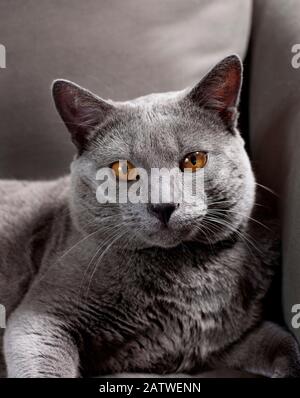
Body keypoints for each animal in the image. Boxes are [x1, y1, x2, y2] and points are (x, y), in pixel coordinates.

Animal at [0, 55, 300, 376]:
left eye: (194, 160)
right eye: (123, 169)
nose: (163, 205)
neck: (186, 277)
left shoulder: (228, 341)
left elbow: (286, 345)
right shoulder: (41, 318)